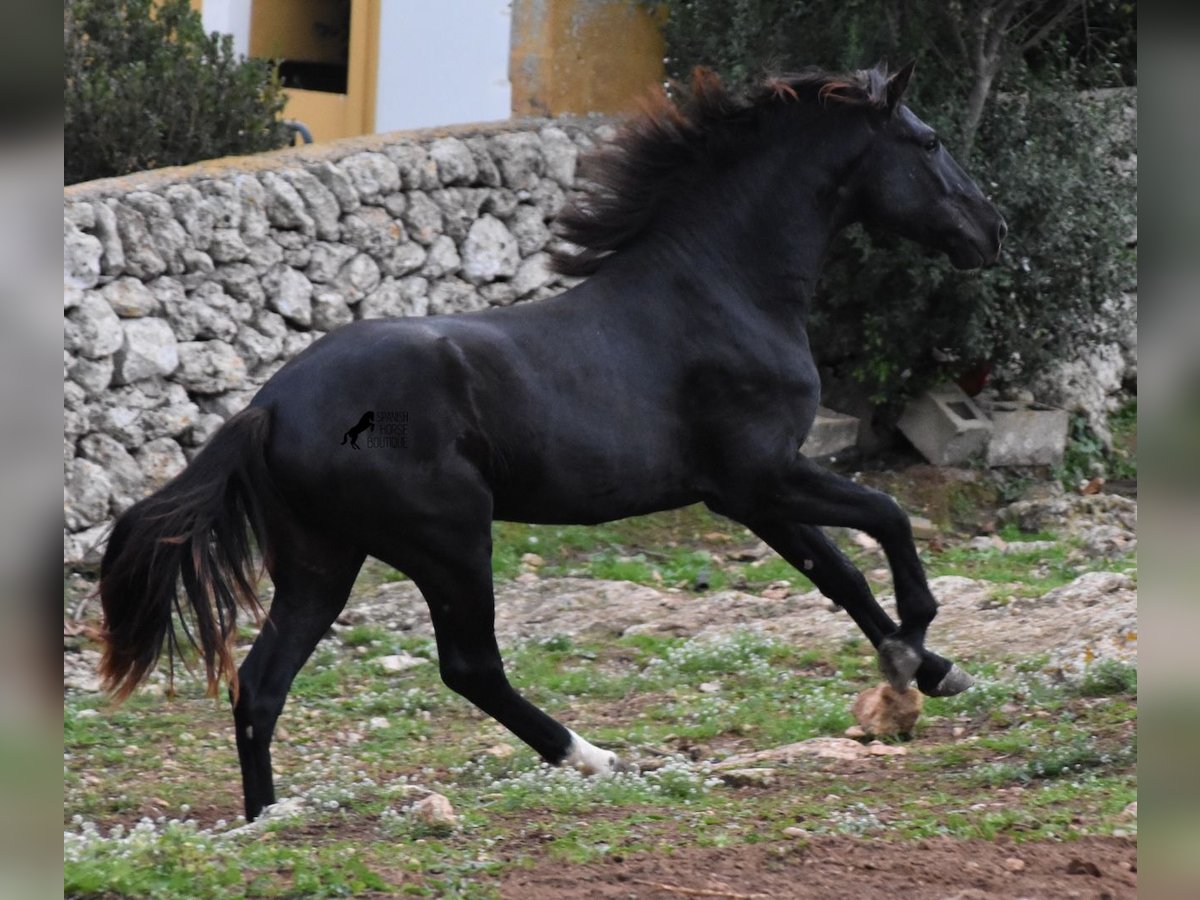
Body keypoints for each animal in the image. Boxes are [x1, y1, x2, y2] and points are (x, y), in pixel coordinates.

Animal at [100, 65, 1003, 825]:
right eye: (928, 142)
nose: (989, 231)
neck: (721, 291)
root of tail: (270, 405)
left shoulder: (751, 497)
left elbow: (840, 575)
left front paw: (932, 672)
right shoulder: (763, 477)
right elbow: (887, 520)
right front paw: (909, 659)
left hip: (322, 561)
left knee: (260, 683)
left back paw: (268, 818)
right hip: (449, 539)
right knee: (469, 666)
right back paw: (591, 757)